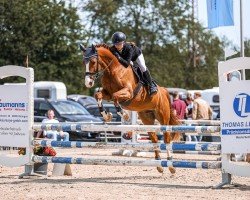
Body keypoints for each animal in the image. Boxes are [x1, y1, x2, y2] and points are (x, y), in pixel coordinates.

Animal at [81, 43, 181, 173]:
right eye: (84, 62)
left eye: (93, 61)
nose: (88, 83)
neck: (113, 70)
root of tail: (163, 91)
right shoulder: (107, 93)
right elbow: (98, 95)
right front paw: (107, 116)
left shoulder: (128, 93)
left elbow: (115, 97)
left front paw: (124, 114)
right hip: (147, 118)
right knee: (154, 138)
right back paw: (159, 164)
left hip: (163, 116)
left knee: (167, 137)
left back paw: (170, 165)